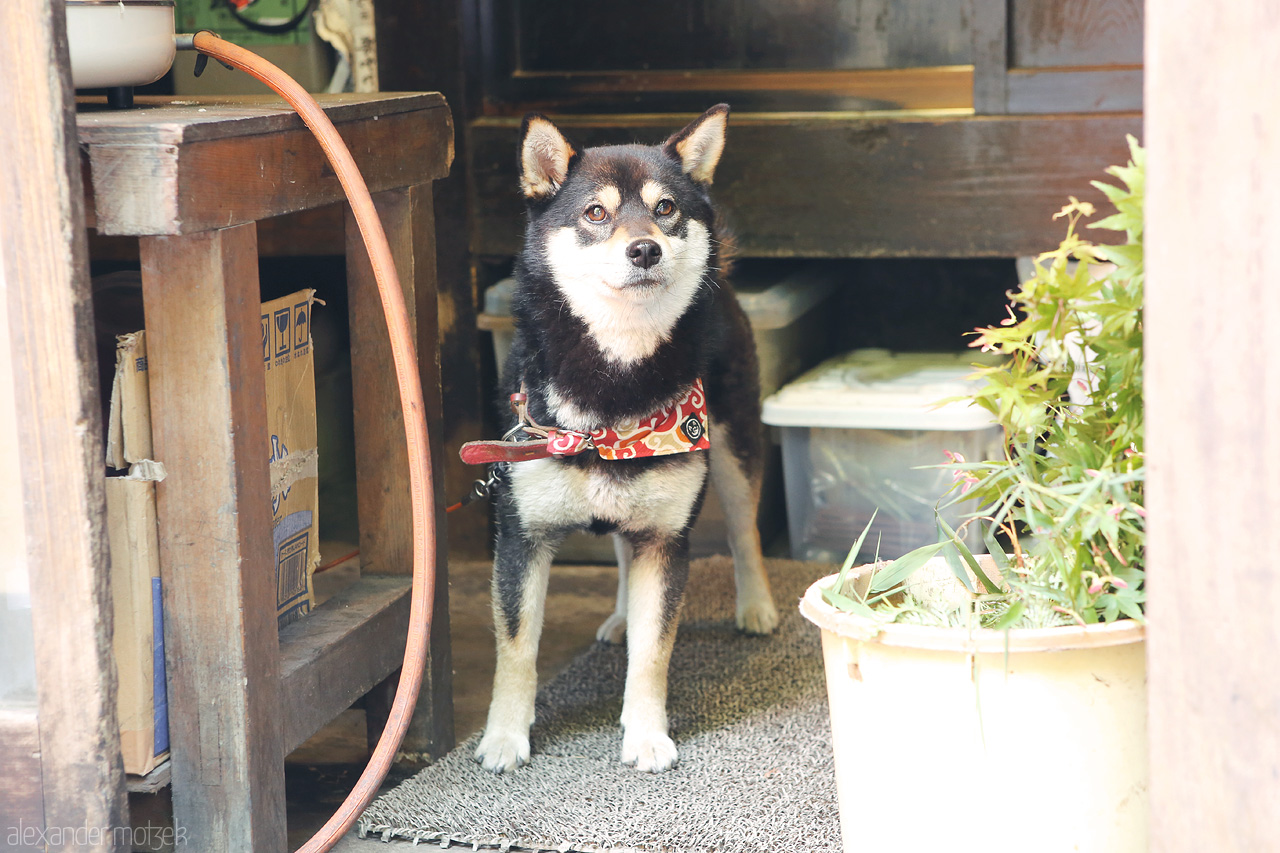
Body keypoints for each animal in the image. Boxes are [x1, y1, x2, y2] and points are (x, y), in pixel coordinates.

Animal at [476, 104, 778, 768]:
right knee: (619, 544)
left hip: (734, 450)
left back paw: (757, 606)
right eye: (596, 213)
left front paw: (646, 736)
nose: (645, 248)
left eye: (665, 208)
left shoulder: (667, 541)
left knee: (744, 532)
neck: (615, 380)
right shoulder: (521, 538)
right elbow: (516, 651)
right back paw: (618, 616)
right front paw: (504, 738)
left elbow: (652, 656)